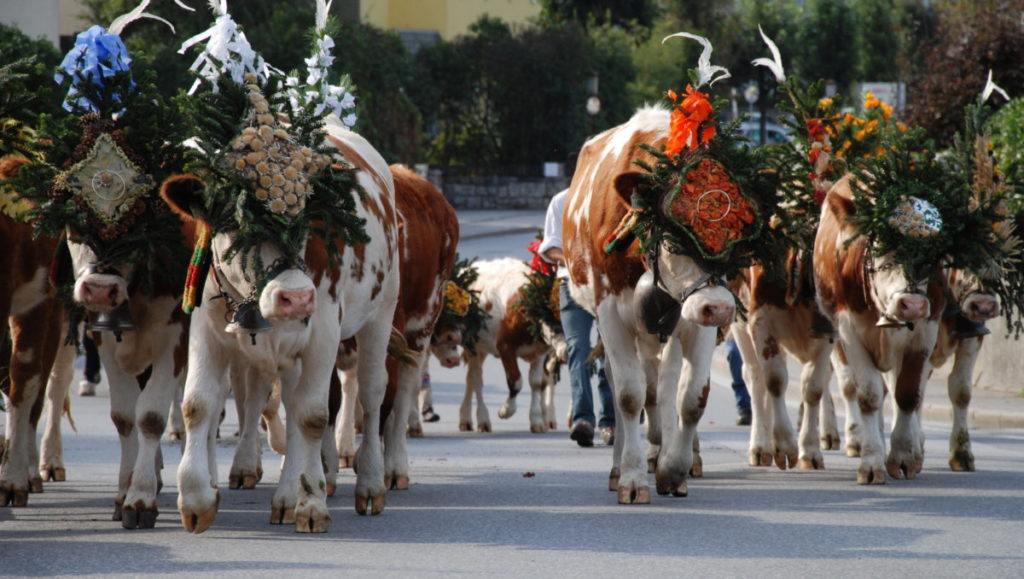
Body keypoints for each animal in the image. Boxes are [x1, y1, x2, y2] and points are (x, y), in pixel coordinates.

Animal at [161, 114, 397, 532]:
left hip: (381, 314)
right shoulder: (206, 330)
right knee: (288, 399)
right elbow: (198, 404)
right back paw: (288, 493)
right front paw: (196, 498)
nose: (297, 297)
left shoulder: (323, 333)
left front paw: (311, 503)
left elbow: (313, 416)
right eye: (237, 224)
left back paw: (367, 484)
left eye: (308, 219)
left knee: (370, 395)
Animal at [561, 107, 745, 502]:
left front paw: (673, 470)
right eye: (675, 239)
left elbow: (691, 398)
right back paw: (620, 465)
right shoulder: (611, 315)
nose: (721, 309)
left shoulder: (695, 323)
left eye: (738, 241)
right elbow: (629, 395)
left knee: (663, 385)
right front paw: (631, 478)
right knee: (628, 385)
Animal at [811, 175, 946, 483]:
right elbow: (869, 395)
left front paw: (903, 456)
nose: (912, 304)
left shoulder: (926, 330)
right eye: (881, 248)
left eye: (930, 255)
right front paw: (872, 462)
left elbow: (908, 394)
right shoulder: (849, 329)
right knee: (856, 387)